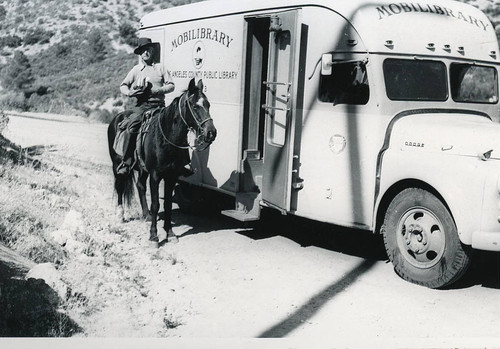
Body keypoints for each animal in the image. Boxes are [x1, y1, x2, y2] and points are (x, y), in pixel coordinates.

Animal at [107, 78, 217, 247]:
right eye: (194, 106)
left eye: (208, 105)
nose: (211, 132)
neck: (167, 137)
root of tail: (117, 117)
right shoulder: (156, 175)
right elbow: (156, 204)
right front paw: (153, 237)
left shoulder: (171, 176)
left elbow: (168, 204)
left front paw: (170, 233)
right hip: (117, 165)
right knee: (120, 186)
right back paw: (120, 215)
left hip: (142, 169)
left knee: (140, 185)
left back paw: (145, 215)